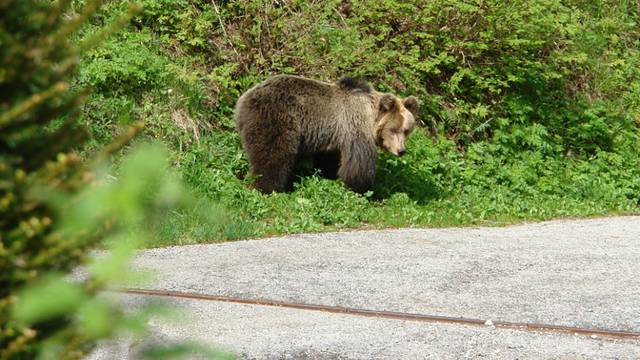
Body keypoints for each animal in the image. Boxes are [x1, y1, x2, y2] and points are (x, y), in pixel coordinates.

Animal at [235, 74, 420, 194]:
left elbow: (329, 160)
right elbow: (359, 163)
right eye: (393, 129)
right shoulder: (354, 127)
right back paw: (266, 187)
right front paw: (363, 189)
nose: (401, 151)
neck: (370, 117)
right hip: (277, 119)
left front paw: (330, 176)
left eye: (406, 130)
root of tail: (243, 99)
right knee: (273, 155)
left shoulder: (332, 135)